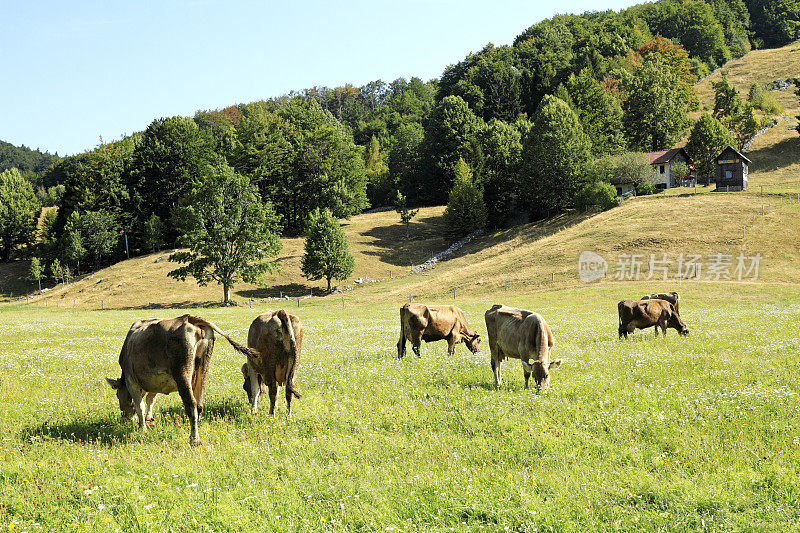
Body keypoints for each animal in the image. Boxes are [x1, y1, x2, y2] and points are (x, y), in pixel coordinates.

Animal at [105, 312, 256, 444]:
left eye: (118, 395)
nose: (124, 418)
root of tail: (189, 318)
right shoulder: (154, 382)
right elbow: (150, 399)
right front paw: (149, 418)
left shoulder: (131, 381)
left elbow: (140, 406)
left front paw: (142, 429)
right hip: (203, 368)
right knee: (199, 404)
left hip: (182, 373)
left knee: (191, 404)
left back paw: (194, 438)